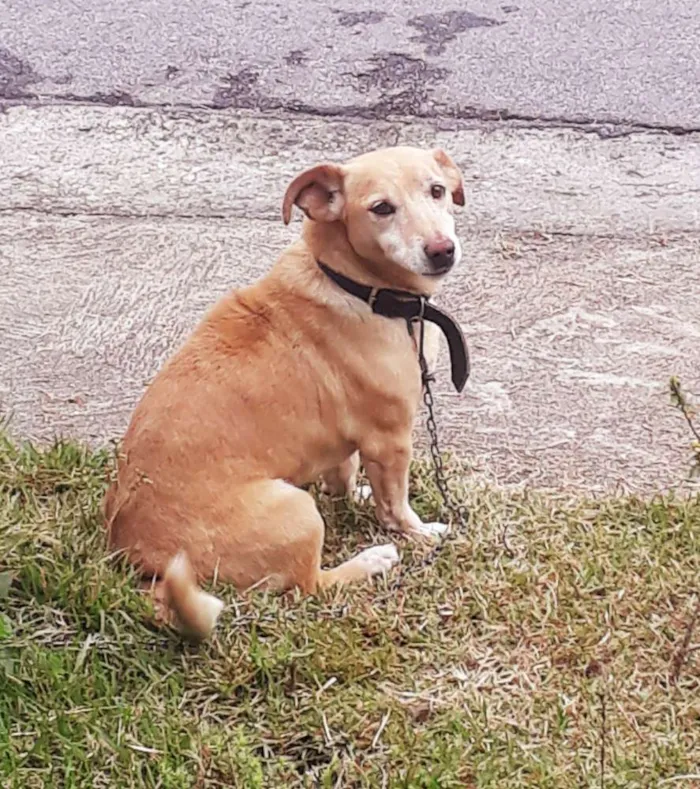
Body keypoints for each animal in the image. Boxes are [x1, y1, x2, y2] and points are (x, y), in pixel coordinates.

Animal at [105, 145, 464, 636]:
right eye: (381, 209)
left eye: (437, 190)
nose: (442, 250)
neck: (355, 284)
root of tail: (140, 557)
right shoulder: (391, 440)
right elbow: (396, 506)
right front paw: (419, 532)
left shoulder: (351, 445)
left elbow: (345, 473)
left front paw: (354, 494)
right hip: (298, 512)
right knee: (311, 585)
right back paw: (371, 561)